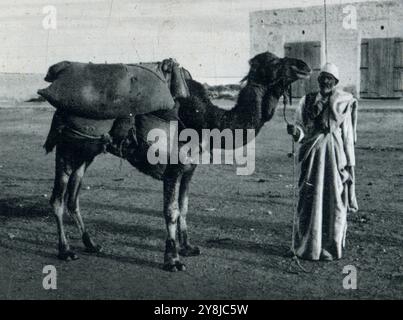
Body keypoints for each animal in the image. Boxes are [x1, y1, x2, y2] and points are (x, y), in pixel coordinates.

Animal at [45, 51, 312, 272]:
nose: (304, 65)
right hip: (67, 148)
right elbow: (171, 211)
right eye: (274, 62)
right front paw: (172, 259)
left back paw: (91, 244)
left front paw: (187, 247)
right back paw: (65, 250)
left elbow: (184, 207)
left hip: (86, 151)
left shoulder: (189, 169)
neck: (207, 120)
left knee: (73, 197)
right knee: (58, 198)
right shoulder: (173, 168)